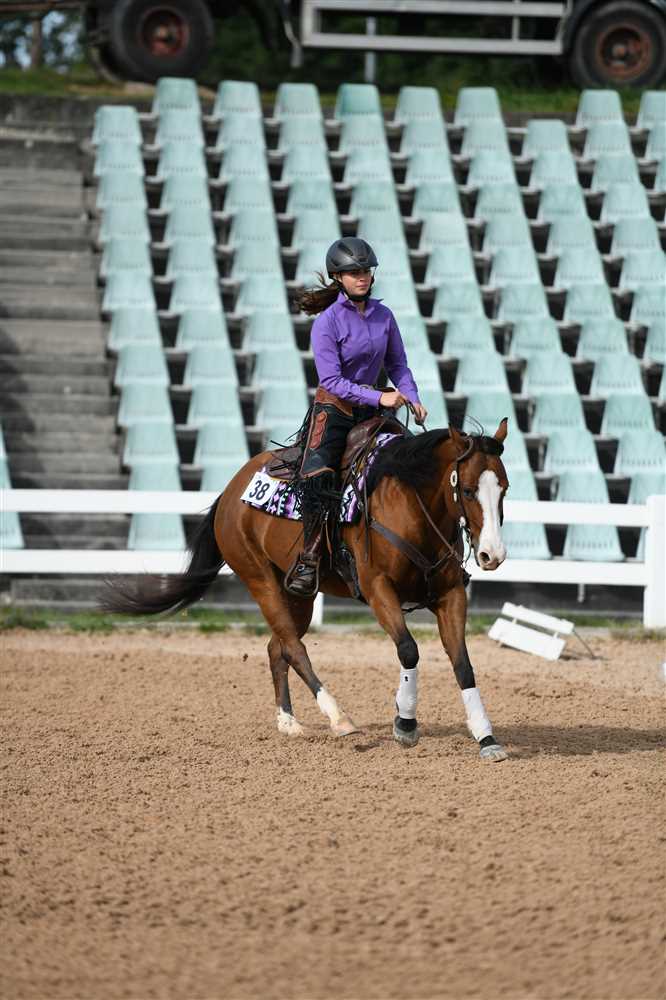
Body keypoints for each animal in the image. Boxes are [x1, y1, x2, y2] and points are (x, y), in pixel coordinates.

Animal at [103, 418, 511, 762]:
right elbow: (408, 650)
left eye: (503, 489)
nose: (493, 555)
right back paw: (338, 718)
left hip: (298, 594)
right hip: (260, 580)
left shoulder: (450, 595)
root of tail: (230, 491)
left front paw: (486, 737)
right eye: (468, 490)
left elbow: (463, 663)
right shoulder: (379, 590)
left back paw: (288, 721)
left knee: (278, 645)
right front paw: (405, 724)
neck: (408, 504)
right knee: (294, 648)